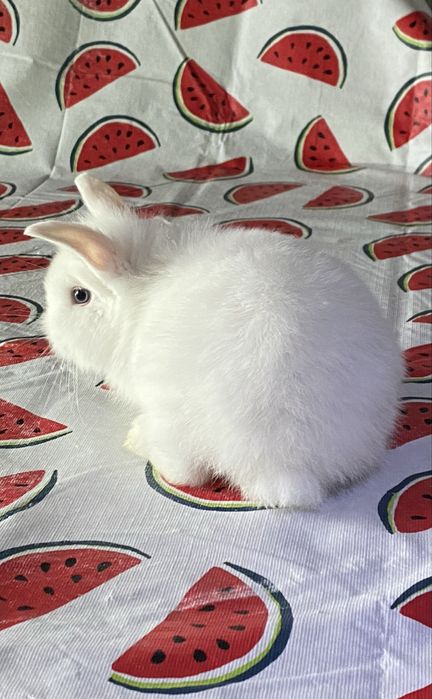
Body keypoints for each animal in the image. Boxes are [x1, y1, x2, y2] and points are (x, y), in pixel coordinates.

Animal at [25, 174, 403, 509]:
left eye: (79, 296)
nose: (49, 336)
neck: (143, 285)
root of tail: (286, 463)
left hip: (174, 419)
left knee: (184, 471)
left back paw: (136, 440)